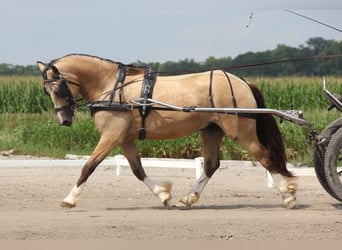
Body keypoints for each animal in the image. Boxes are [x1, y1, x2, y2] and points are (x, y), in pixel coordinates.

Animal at [37, 54, 296, 209]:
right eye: (46, 91)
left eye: (59, 88)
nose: (64, 120)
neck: (112, 87)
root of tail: (241, 81)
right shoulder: (124, 139)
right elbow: (138, 170)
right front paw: (164, 195)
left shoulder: (111, 136)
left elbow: (88, 166)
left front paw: (69, 199)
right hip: (212, 131)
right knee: (211, 165)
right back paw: (187, 198)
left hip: (241, 133)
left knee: (265, 157)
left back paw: (288, 196)